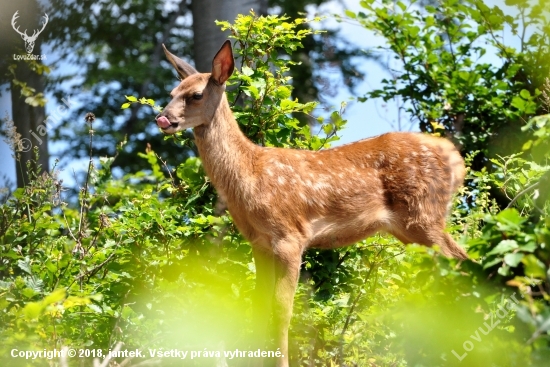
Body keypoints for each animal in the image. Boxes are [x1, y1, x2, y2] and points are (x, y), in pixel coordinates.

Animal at [156, 41, 470, 367]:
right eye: (172, 92)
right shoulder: (259, 242)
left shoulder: (290, 236)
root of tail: (455, 157)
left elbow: (282, 310)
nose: (163, 119)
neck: (249, 175)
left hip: (424, 215)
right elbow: (258, 306)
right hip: (410, 229)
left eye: (196, 95)